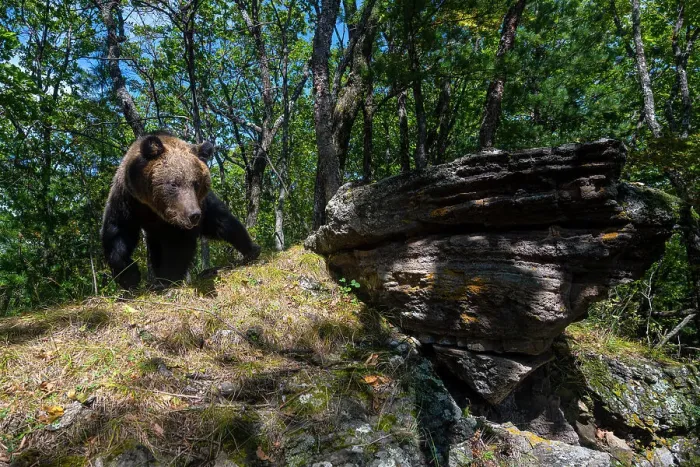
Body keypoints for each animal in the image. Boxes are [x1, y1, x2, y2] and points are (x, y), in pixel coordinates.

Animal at [101, 131, 260, 289]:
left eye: (196, 183)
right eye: (174, 183)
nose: (194, 215)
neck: (155, 210)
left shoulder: (181, 219)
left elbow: (179, 246)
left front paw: (168, 278)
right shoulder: (128, 200)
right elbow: (118, 232)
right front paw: (130, 276)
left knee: (224, 224)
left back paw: (251, 250)